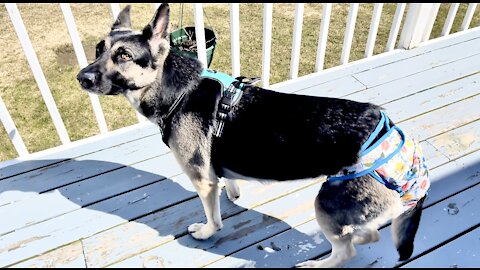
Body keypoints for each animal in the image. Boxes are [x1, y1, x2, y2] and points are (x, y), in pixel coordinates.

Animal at [77, 4, 430, 268]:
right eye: (98, 50)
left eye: (124, 56)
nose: (82, 77)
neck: (177, 89)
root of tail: (403, 145)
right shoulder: (216, 169)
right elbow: (228, 179)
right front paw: (233, 192)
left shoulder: (202, 181)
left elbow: (213, 218)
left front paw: (206, 231)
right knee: (365, 234)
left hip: (326, 204)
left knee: (347, 250)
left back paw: (316, 264)